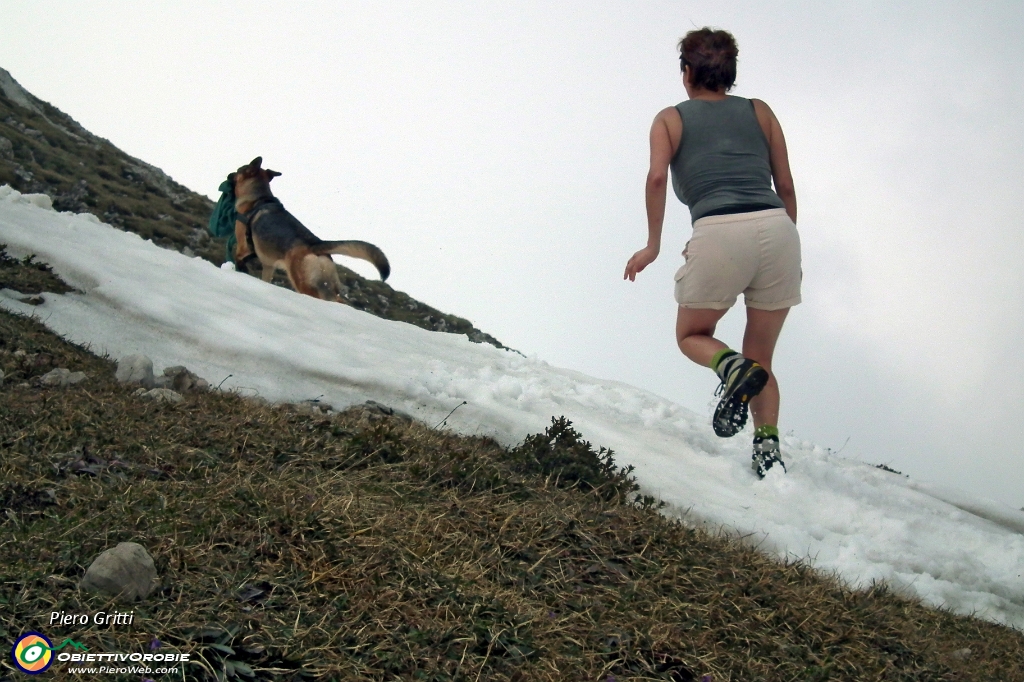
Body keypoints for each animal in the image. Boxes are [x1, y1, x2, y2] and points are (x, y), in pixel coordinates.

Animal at [228, 157, 387, 301]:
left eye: (238, 170)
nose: (229, 174)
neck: (258, 198)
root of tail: (316, 245)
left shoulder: (243, 246)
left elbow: (237, 256)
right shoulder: (268, 265)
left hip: (304, 284)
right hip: (328, 287)